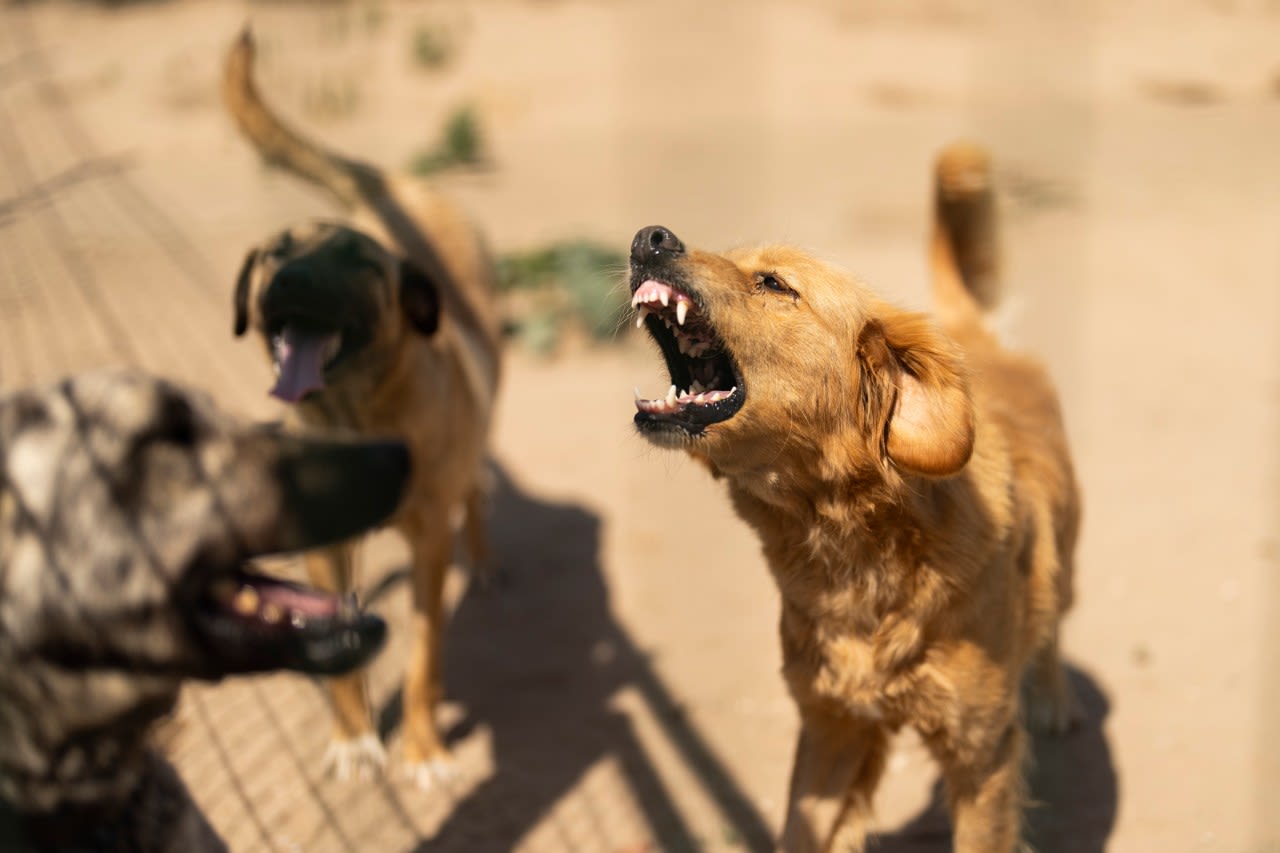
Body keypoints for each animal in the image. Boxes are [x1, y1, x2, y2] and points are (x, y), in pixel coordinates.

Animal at [220, 28, 499, 783]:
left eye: (357, 261)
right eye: (275, 253)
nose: (290, 278)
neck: (355, 414)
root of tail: (395, 186)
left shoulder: (428, 545)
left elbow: (425, 659)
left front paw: (424, 750)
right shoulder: (325, 544)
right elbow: (340, 648)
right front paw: (353, 739)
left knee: (477, 489)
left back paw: (484, 563)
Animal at [629, 142, 1080, 845]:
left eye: (774, 283)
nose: (648, 238)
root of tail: (971, 338)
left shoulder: (982, 753)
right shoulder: (831, 728)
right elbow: (800, 829)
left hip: (1064, 557)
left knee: (1054, 617)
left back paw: (1054, 696)